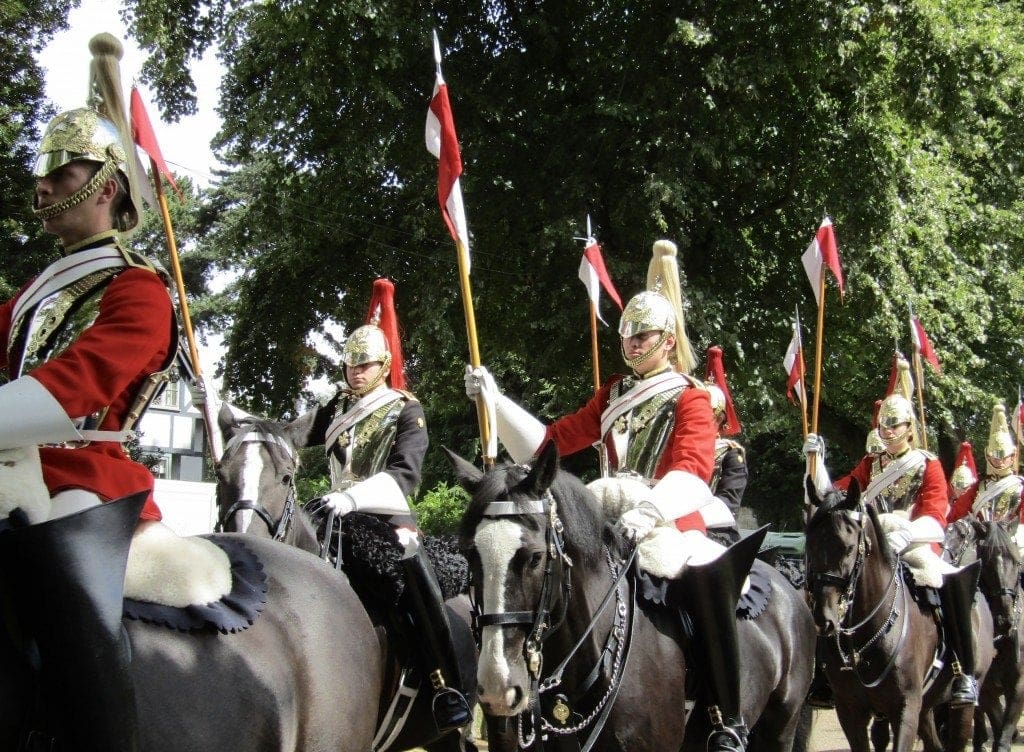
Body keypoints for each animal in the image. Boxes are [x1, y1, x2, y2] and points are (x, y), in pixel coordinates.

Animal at [806, 479, 991, 752]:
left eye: (849, 548)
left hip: (959, 707)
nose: (823, 618)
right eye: (809, 544)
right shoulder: (850, 710)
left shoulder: (905, 708)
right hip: (926, 706)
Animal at [942, 518, 1024, 752]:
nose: (1004, 620)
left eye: (1016, 562)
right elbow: (997, 727)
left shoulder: (1018, 685)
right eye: (986, 563)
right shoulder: (986, 689)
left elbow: (1003, 733)